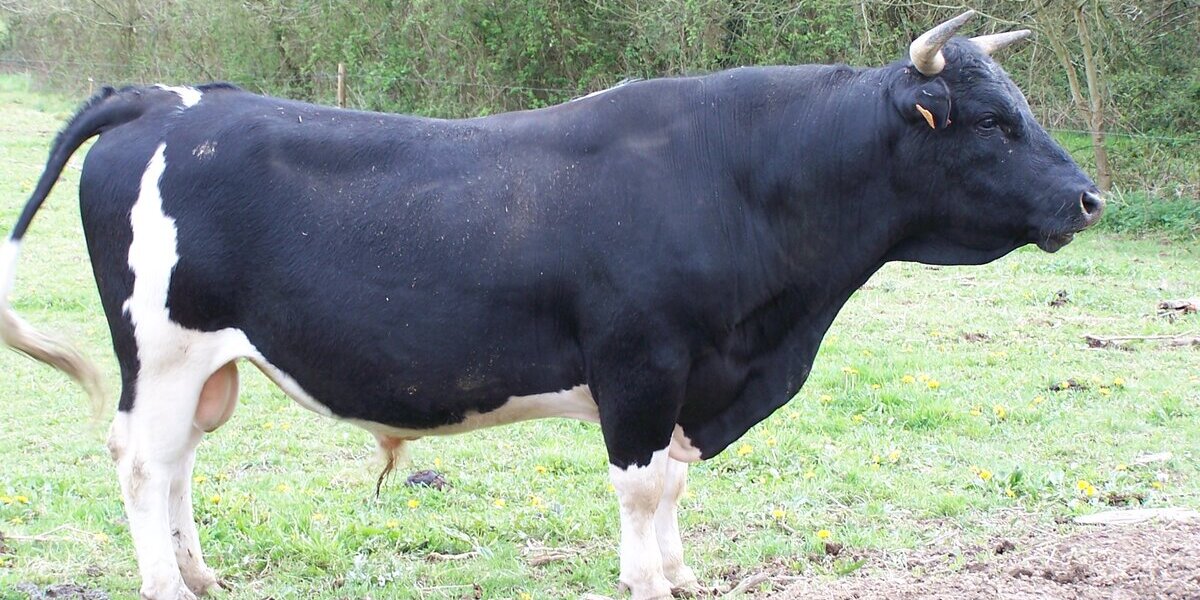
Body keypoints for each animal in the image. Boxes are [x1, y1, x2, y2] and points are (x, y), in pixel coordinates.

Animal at [0, 10, 1101, 600]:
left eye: (1020, 109)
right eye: (993, 123)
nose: (1092, 199)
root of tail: (164, 95)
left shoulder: (691, 379)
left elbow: (672, 487)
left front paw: (680, 578)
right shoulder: (642, 366)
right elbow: (644, 488)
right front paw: (650, 582)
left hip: (205, 364)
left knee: (177, 461)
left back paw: (201, 577)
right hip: (162, 350)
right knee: (143, 462)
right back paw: (163, 583)